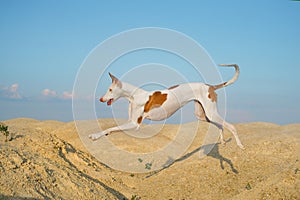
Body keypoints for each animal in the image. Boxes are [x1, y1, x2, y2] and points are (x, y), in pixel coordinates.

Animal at [89, 63, 244, 148]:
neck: (134, 95)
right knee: (220, 125)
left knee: (231, 126)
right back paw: (223, 141)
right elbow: (111, 129)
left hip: (210, 113)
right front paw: (98, 135)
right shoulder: (130, 121)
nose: (101, 99)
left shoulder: (134, 124)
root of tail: (210, 86)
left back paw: (240, 145)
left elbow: (111, 127)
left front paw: (95, 136)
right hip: (202, 115)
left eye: (110, 89)